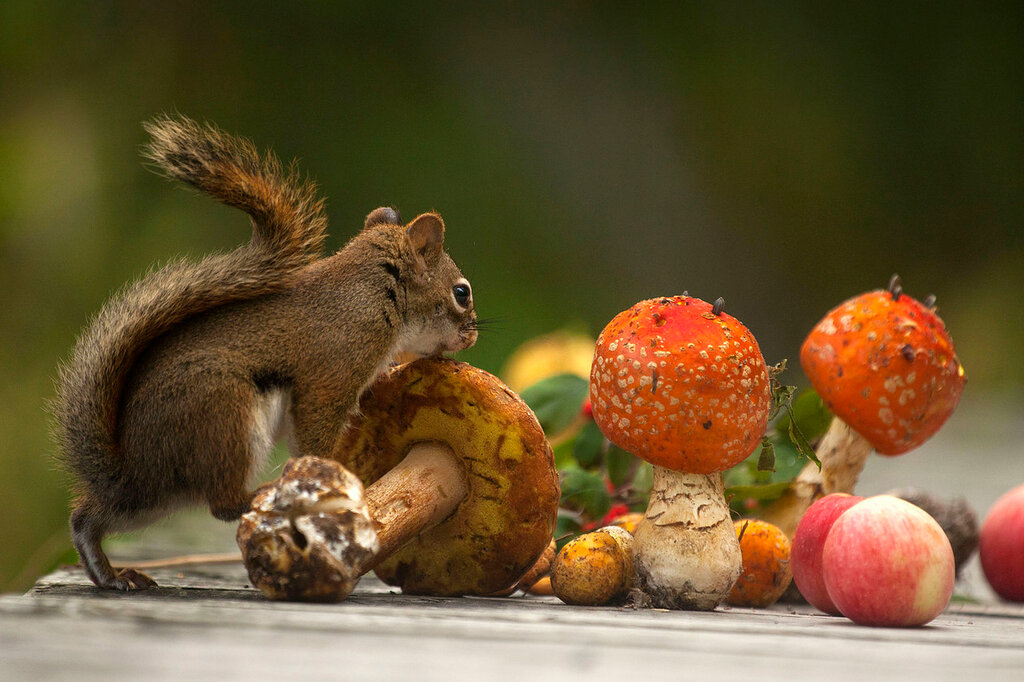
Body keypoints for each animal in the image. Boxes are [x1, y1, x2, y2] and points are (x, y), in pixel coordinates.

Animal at [51, 114, 475, 585]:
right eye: (461, 293)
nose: (473, 335)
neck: (370, 293)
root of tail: (128, 466)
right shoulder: (331, 374)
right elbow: (314, 432)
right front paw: (336, 483)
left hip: (154, 498)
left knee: (94, 515)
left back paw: (107, 572)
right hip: (223, 417)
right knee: (221, 504)